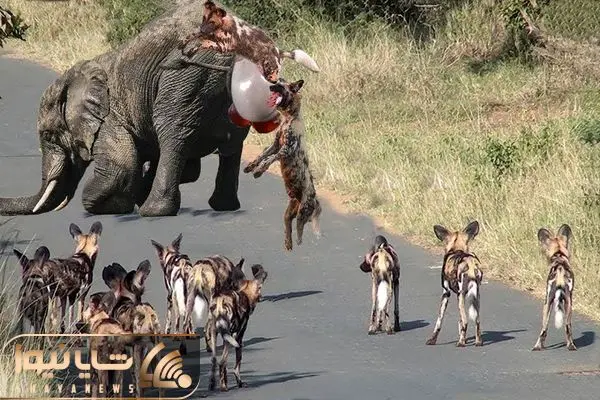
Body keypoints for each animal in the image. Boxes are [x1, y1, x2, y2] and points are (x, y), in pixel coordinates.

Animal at [0, 0, 271, 216]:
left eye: (49, 135)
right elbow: (184, 168)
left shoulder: (109, 118)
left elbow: (119, 168)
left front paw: (116, 205)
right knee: (232, 143)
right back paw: (223, 206)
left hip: (186, 75)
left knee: (172, 133)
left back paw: (153, 211)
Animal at [180, 0, 320, 83]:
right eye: (204, 18)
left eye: (212, 22)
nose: (202, 29)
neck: (221, 27)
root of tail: (279, 51)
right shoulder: (210, 35)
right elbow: (193, 36)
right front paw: (184, 46)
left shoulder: (222, 45)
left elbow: (202, 43)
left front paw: (191, 50)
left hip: (271, 74)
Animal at [243, 79, 322, 250]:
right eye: (277, 81)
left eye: (280, 85)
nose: (270, 84)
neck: (289, 119)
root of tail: (315, 198)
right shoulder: (274, 146)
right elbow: (262, 156)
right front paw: (251, 167)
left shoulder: (285, 150)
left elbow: (269, 159)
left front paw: (259, 171)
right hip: (288, 213)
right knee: (288, 226)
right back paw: (288, 243)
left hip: (302, 212)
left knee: (300, 230)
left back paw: (298, 241)